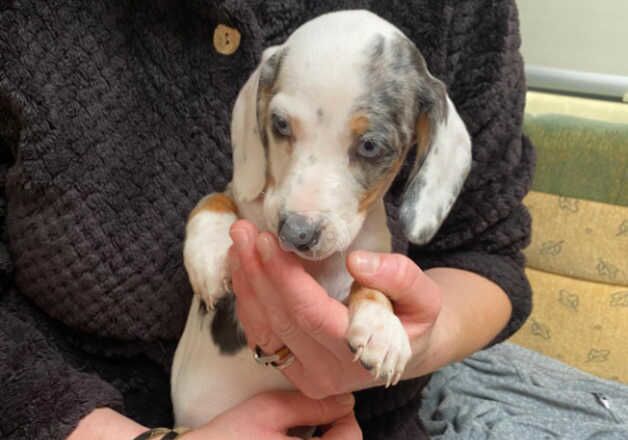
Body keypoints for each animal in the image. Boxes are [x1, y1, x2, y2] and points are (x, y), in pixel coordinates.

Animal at [172, 9, 472, 430]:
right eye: (280, 124)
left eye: (370, 146)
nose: (296, 233)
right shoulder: (241, 197)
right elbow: (213, 199)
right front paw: (209, 256)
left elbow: (371, 284)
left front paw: (380, 326)